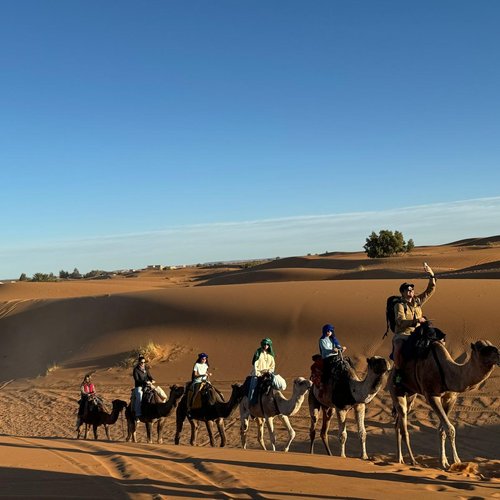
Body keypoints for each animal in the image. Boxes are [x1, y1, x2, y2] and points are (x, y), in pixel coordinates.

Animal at [390, 328, 500, 468]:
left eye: (491, 345)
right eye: (482, 349)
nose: (499, 353)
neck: (449, 373)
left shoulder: (450, 398)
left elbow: (442, 429)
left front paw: (444, 461)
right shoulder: (431, 395)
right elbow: (450, 428)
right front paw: (456, 461)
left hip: (410, 394)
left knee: (398, 424)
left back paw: (400, 459)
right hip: (395, 390)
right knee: (404, 426)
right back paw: (412, 460)